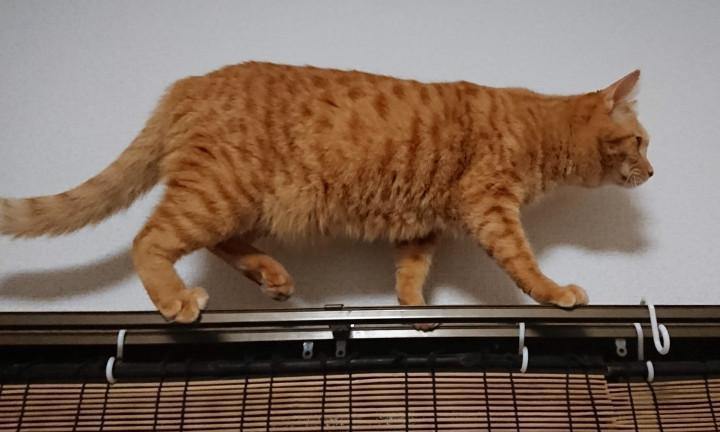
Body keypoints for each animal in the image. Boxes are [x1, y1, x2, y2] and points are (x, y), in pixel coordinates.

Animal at [0, 62, 652, 329]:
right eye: (642, 142)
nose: (651, 172)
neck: (538, 125)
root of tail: (188, 83)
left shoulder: (424, 226)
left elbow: (411, 272)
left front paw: (413, 310)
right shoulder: (490, 207)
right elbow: (525, 263)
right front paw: (556, 292)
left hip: (248, 203)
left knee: (220, 243)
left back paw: (270, 276)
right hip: (219, 192)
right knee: (150, 239)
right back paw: (176, 299)